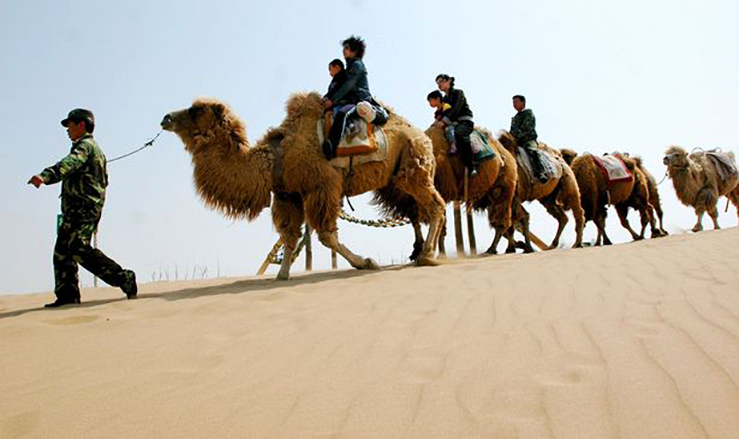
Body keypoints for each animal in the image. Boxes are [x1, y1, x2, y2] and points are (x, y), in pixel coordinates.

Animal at [161, 94, 446, 280]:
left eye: (195, 110)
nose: (166, 117)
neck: (276, 157)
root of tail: (420, 134)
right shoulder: (288, 195)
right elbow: (289, 236)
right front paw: (282, 274)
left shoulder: (322, 186)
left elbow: (326, 235)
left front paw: (365, 262)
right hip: (400, 175)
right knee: (425, 208)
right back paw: (427, 253)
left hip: (413, 164)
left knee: (435, 205)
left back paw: (427, 255)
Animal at [372, 125, 516, 258]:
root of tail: (506, 152)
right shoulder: (413, 199)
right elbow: (417, 221)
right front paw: (419, 250)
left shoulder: (434, 190)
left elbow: (435, 221)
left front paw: (434, 253)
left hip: (506, 184)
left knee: (503, 218)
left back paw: (494, 249)